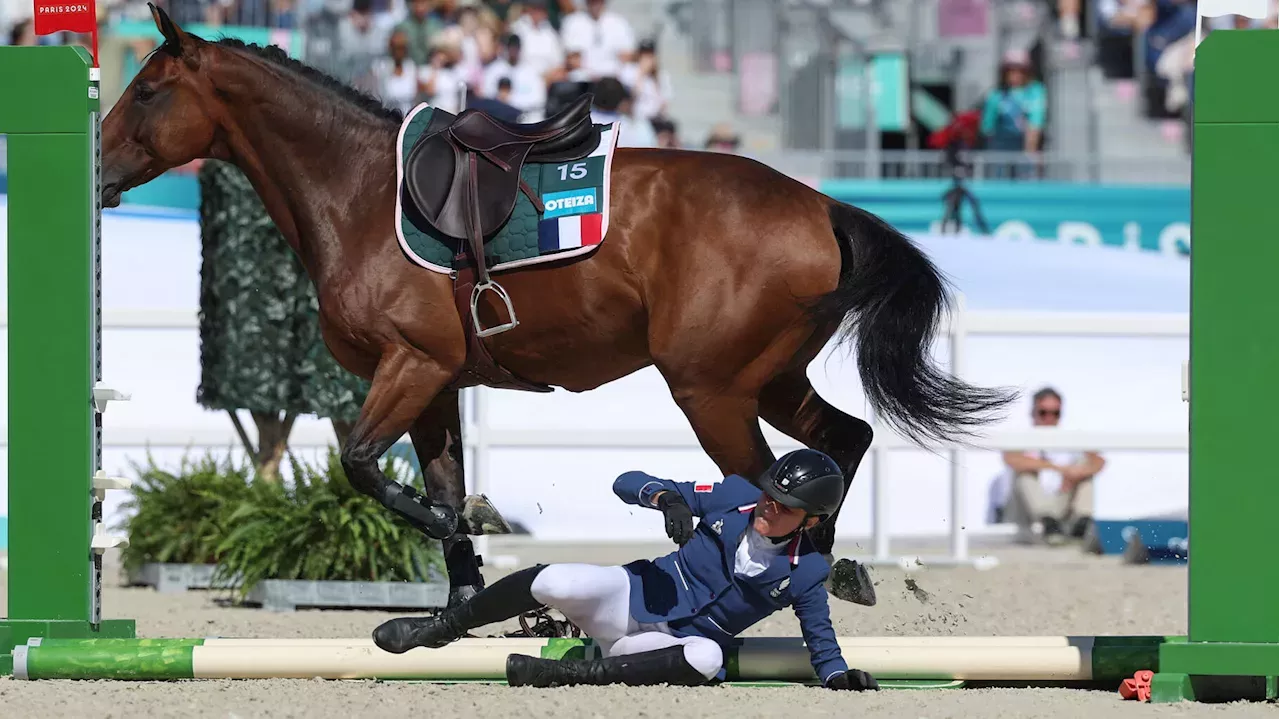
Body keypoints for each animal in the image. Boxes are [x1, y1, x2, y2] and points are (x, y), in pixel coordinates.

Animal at [102, 4, 1018, 603]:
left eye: (145, 89)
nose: (99, 171)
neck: (357, 190)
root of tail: (820, 204)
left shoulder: (410, 366)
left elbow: (367, 468)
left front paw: (475, 530)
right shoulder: (435, 384)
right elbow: (436, 496)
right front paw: (455, 604)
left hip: (713, 390)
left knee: (770, 484)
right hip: (769, 378)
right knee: (842, 440)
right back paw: (835, 566)